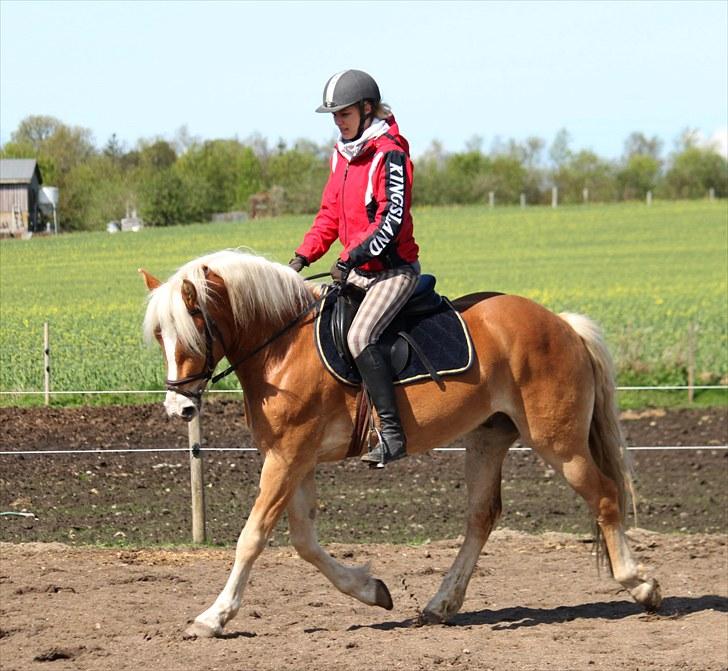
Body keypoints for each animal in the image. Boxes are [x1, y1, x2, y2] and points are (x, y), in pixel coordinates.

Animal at [139, 249, 664, 636]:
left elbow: (252, 537)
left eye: (195, 325)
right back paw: (441, 604)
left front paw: (213, 617)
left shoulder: (287, 458)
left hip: (560, 443)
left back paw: (641, 586)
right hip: (488, 437)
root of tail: (561, 323)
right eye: (160, 336)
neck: (281, 348)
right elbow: (304, 541)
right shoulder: (294, 459)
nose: (179, 408)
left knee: (604, 496)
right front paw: (370, 589)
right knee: (482, 516)